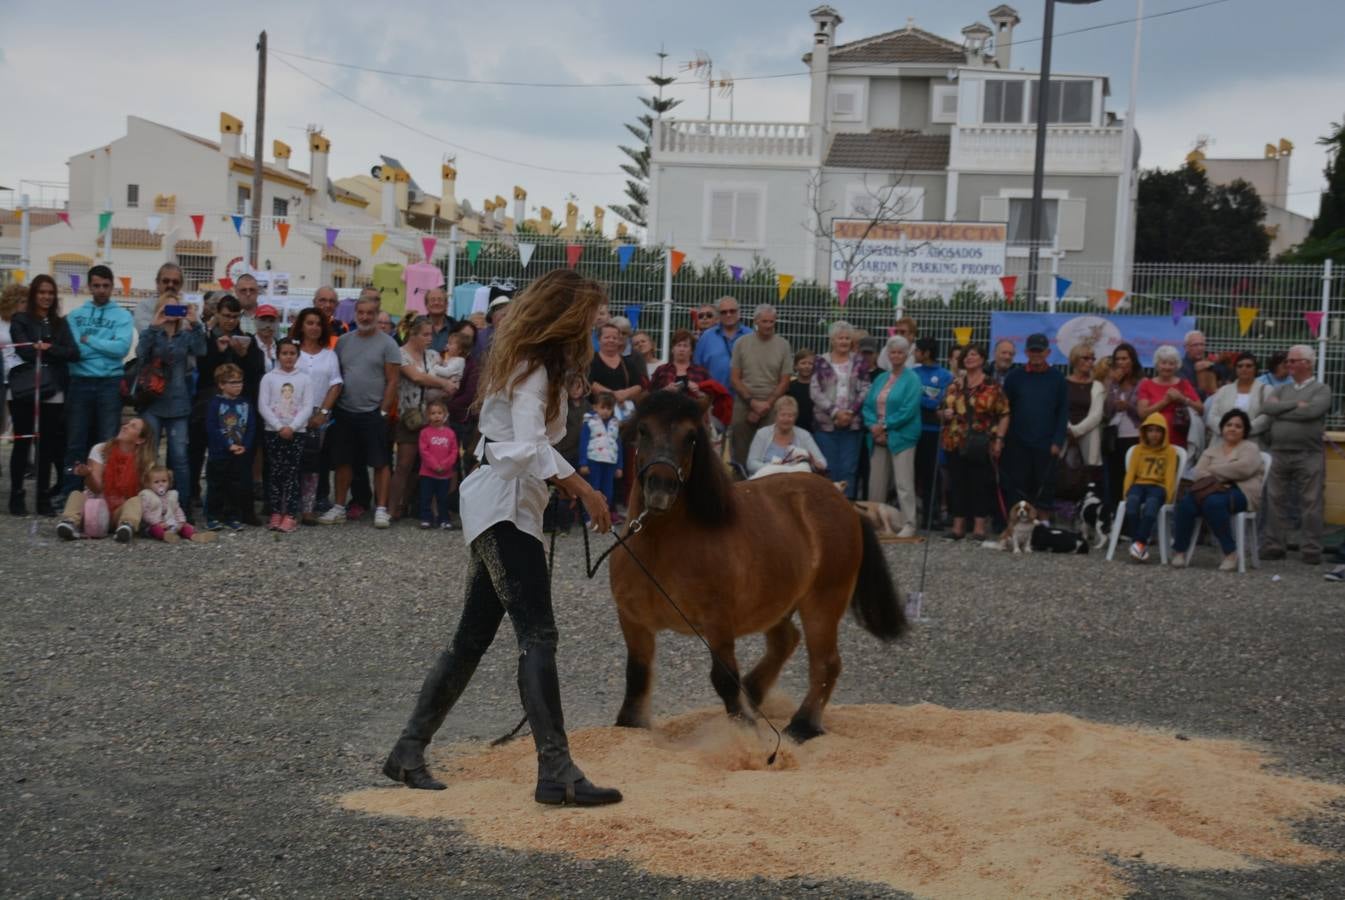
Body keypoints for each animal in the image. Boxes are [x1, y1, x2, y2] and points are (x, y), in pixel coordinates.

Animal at [613, 390, 909, 742]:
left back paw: (802, 725)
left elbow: (723, 678)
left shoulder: (718, 623)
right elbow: (636, 674)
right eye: (643, 430)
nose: (660, 486)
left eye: (691, 437)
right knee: (786, 640)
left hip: (822, 604)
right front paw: (629, 724)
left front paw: (743, 729)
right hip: (779, 602)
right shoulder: (633, 621)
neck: (658, 547)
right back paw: (754, 692)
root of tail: (847, 504)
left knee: (826, 662)